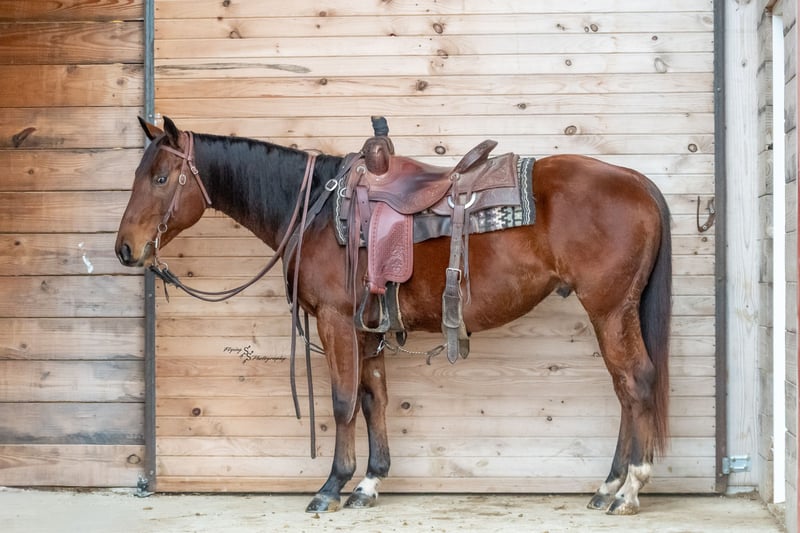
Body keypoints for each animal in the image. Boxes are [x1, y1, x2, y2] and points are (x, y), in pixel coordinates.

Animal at [115, 116, 671, 516]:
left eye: (161, 178)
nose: (125, 249)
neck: (317, 211)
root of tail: (637, 182)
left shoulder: (336, 321)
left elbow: (342, 402)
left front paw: (331, 487)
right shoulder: (366, 329)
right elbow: (373, 399)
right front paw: (369, 482)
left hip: (610, 309)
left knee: (636, 382)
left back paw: (629, 489)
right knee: (625, 389)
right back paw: (608, 486)